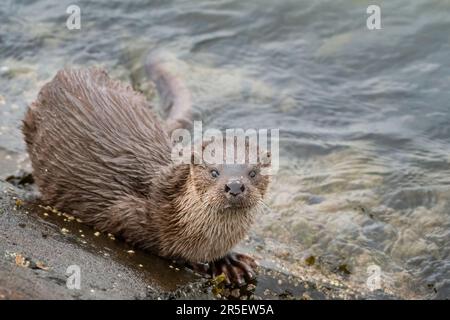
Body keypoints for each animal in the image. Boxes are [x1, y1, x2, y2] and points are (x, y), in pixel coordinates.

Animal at [22, 61, 268, 284]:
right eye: (214, 171)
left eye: (253, 172)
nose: (234, 185)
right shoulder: (127, 212)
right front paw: (195, 261)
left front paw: (228, 261)